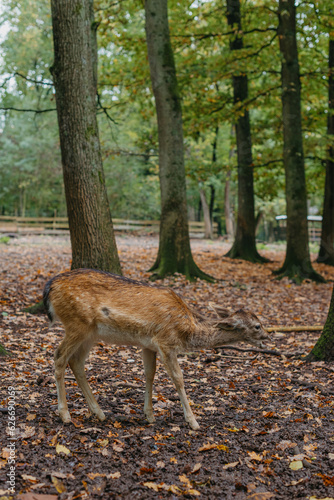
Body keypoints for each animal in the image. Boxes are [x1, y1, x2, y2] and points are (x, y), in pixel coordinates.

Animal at [43, 270, 268, 430]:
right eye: (257, 326)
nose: (268, 337)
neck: (187, 329)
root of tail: (49, 287)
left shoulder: (148, 345)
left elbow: (149, 374)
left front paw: (149, 415)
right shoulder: (166, 341)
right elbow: (178, 378)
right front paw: (193, 422)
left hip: (90, 334)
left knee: (76, 362)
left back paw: (99, 412)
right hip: (76, 324)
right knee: (59, 356)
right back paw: (65, 415)